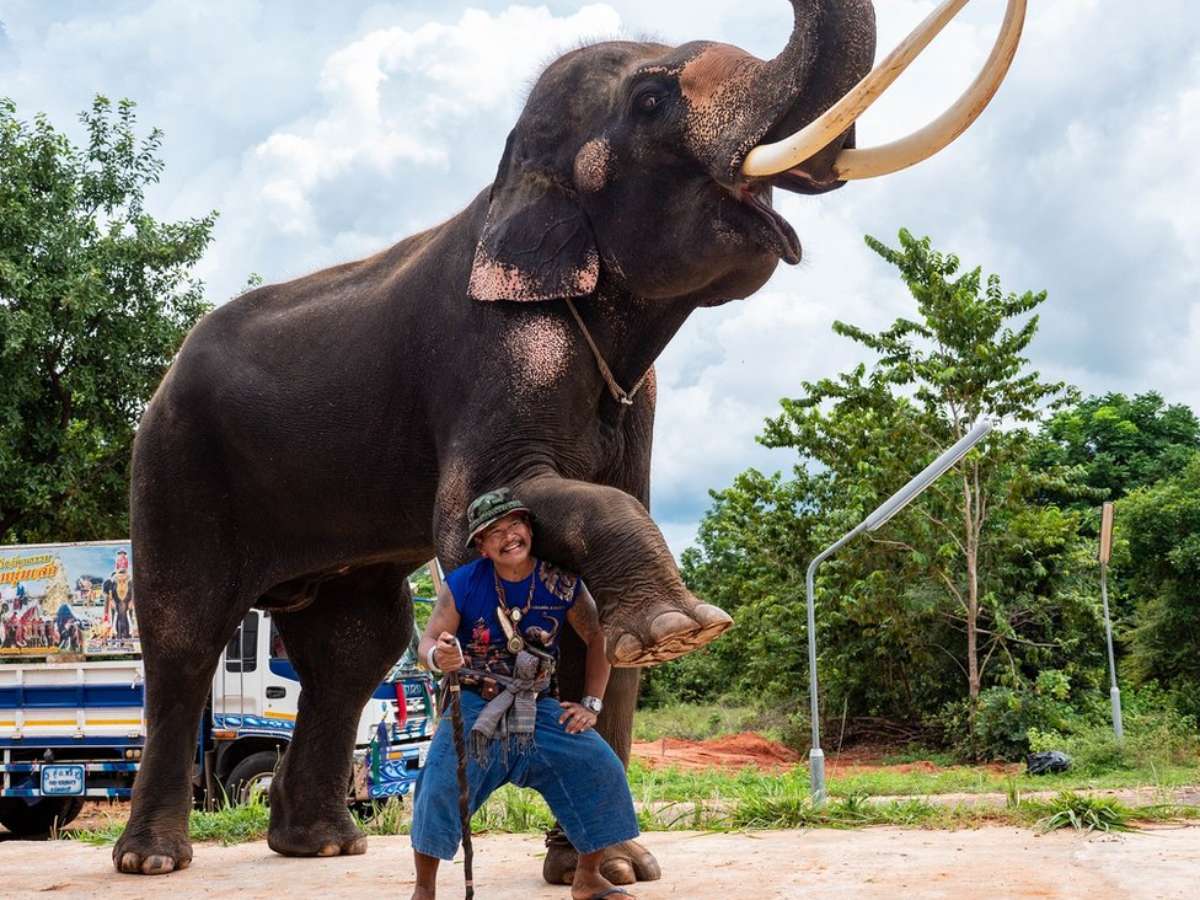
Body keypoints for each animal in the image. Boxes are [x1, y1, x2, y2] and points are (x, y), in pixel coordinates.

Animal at [117, 0, 1027, 883]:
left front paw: (612, 864)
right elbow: (477, 519)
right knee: (186, 632)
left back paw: (322, 848)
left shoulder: (635, 395)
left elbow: (602, 604)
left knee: (354, 646)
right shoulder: (492, 350)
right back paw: (155, 858)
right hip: (173, 462)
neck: (506, 180)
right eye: (651, 101)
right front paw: (679, 626)